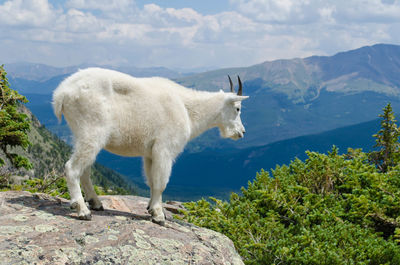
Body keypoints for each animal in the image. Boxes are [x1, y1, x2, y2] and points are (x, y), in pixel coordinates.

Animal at [52, 67, 248, 224]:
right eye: (238, 108)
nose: (241, 132)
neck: (188, 109)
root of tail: (61, 93)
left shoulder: (150, 153)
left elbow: (152, 181)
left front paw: (151, 208)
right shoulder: (165, 149)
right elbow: (161, 182)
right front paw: (159, 216)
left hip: (80, 133)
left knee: (85, 169)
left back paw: (96, 203)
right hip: (92, 130)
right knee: (72, 168)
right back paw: (83, 210)